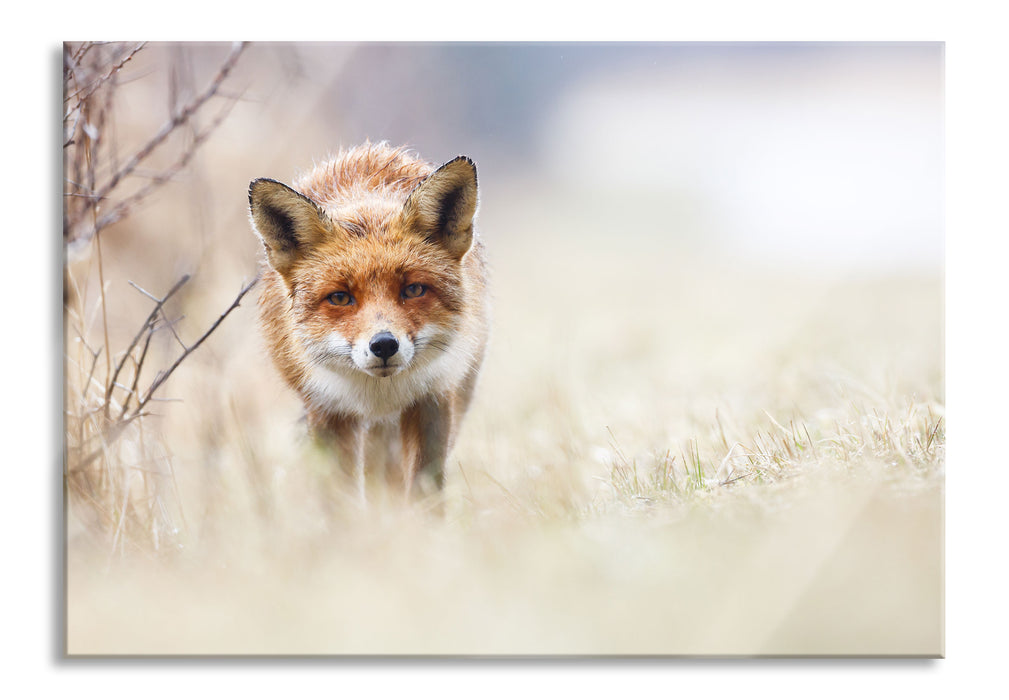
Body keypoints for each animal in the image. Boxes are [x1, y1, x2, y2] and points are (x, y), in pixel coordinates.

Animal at [248, 142, 489, 498]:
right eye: (339, 297)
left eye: (413, 289)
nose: (384, 345)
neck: (379, 394)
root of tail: (371, 149)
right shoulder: (327, 410)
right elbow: (340, 497)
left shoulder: (432, 399)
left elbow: (424, 492)